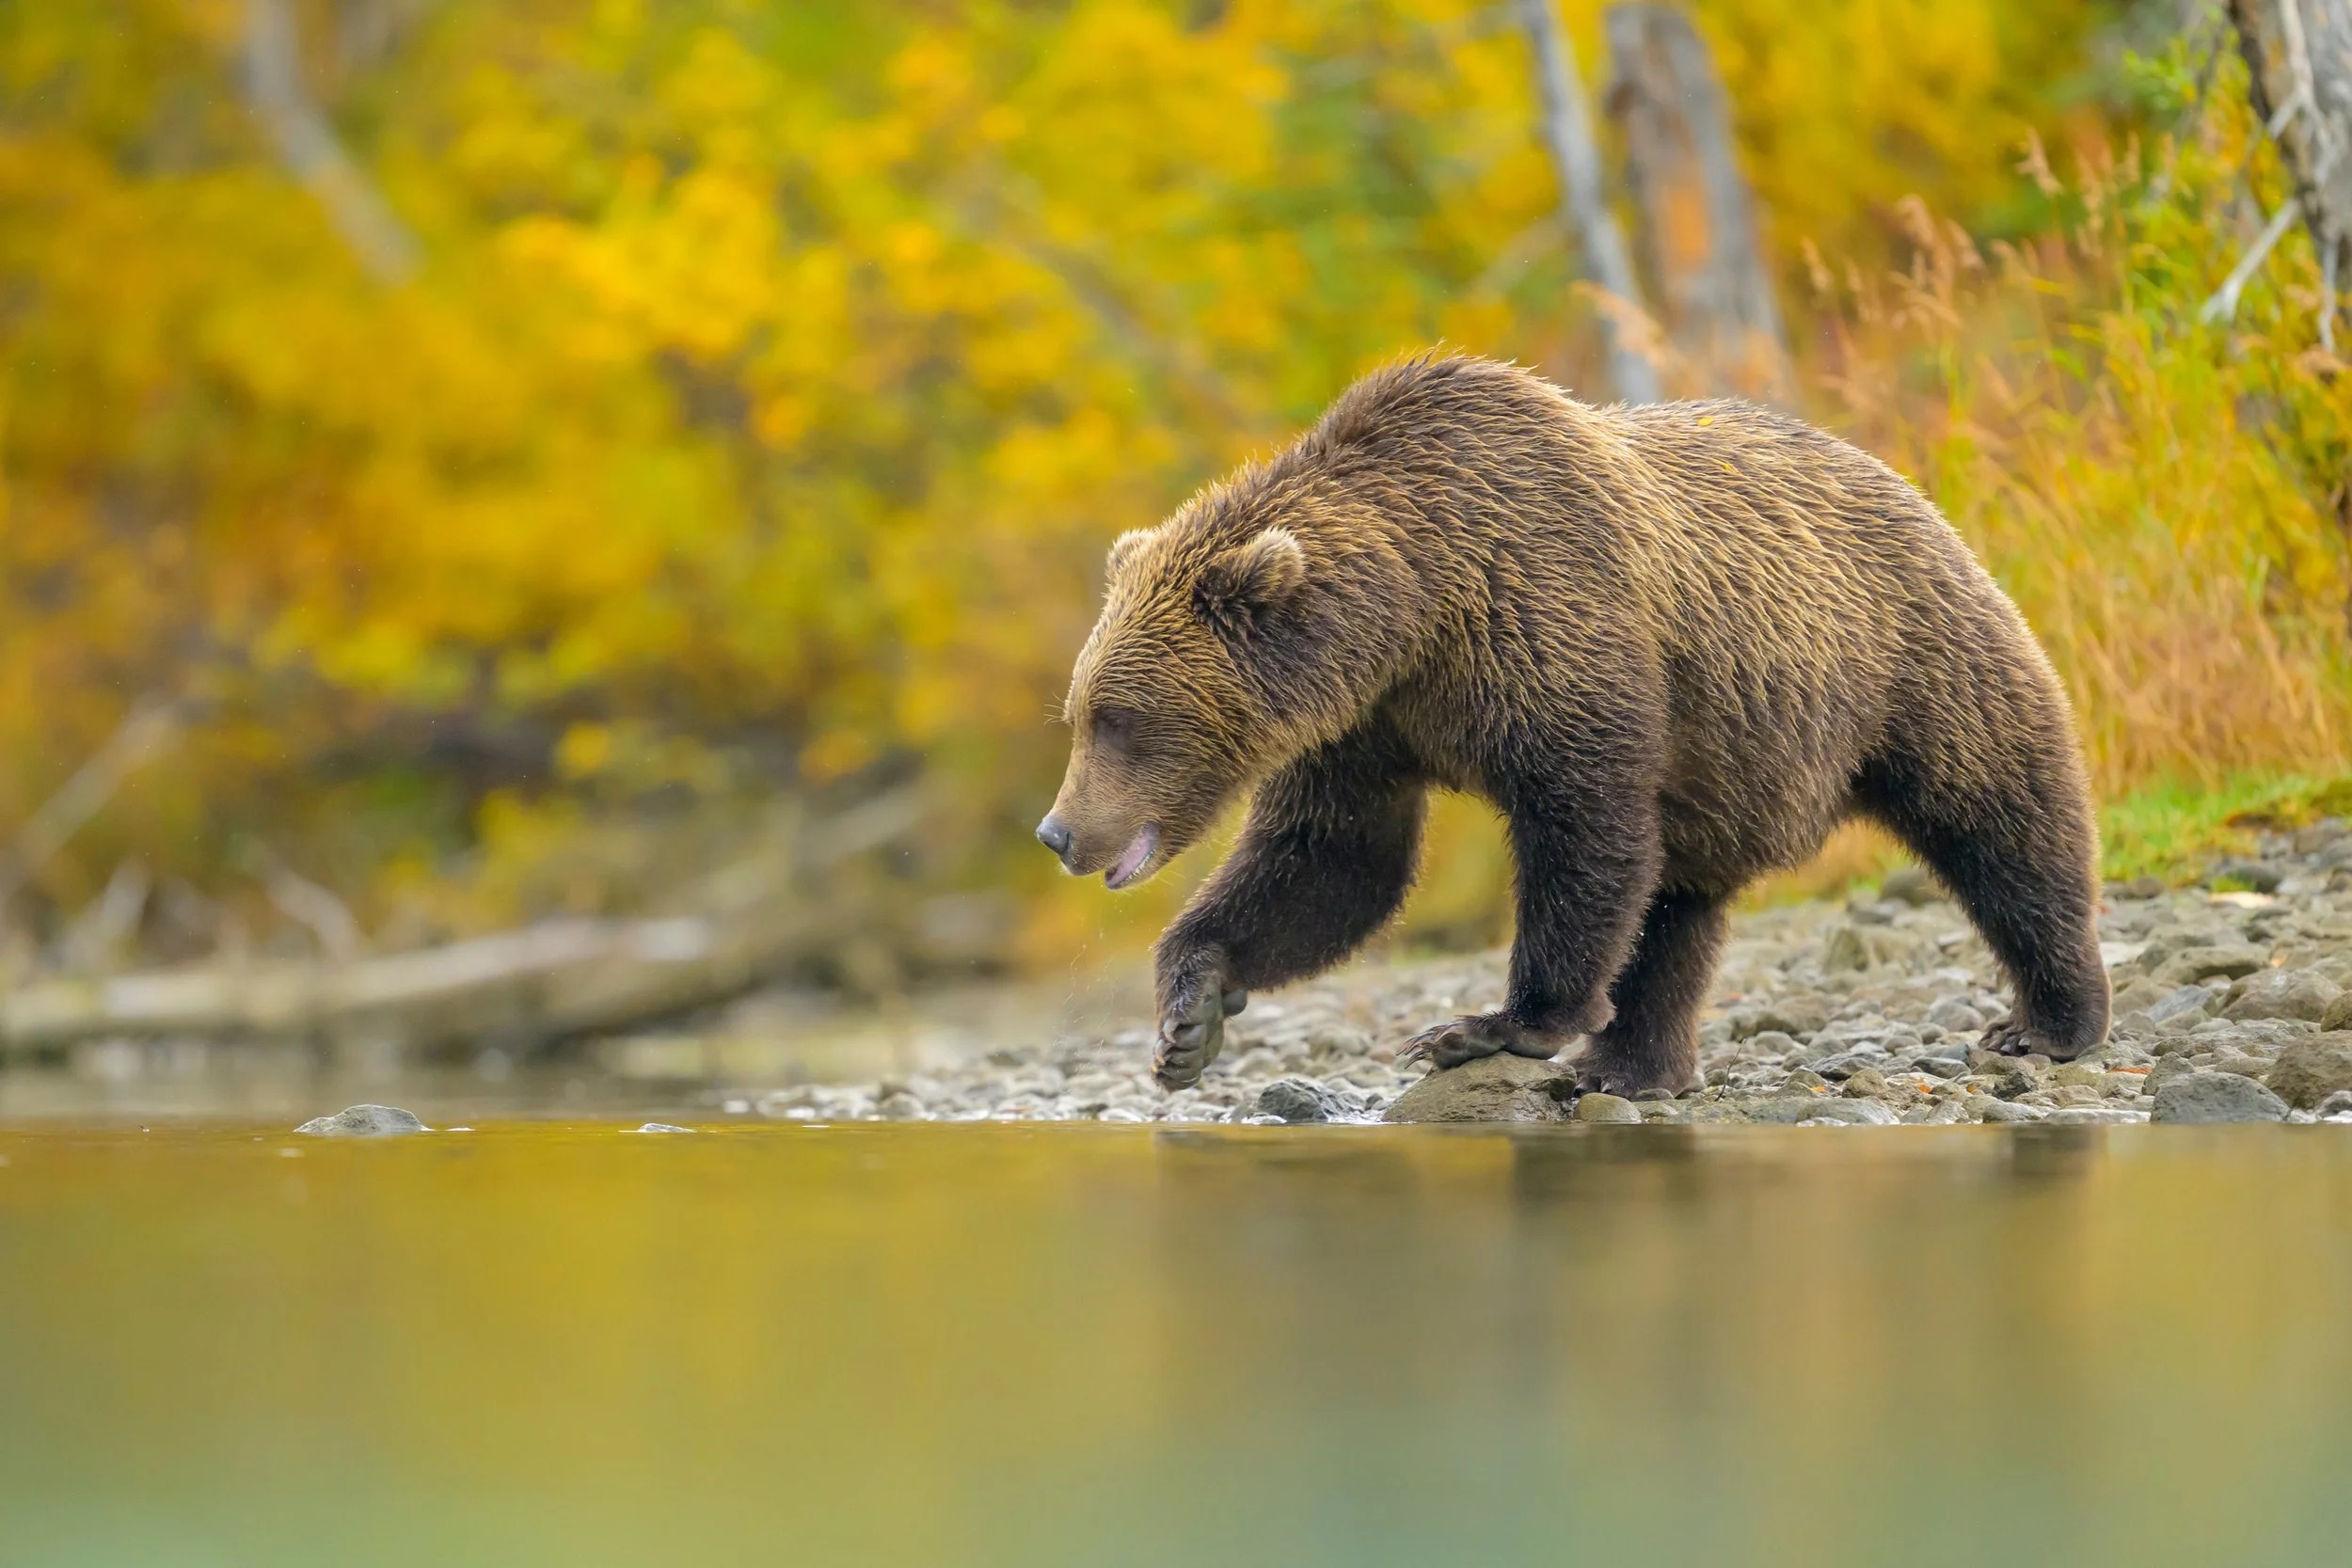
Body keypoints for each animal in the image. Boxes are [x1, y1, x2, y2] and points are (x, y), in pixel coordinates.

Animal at [1034, 353, 2109, 1096]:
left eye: (1121, 717)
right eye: (1079, 711)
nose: (1056, 831)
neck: (1418, 607)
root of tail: (1905, 482)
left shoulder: (1548, 619)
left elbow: (1580, 821)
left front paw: (1495, 1022)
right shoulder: (1366, 724)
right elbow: (1334, 860)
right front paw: (1190, 1015)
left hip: (1911, 659)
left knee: (2003, 819)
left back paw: (2050, 1018)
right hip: (1727, 765)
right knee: (1678, 908)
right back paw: (1633, 1062)